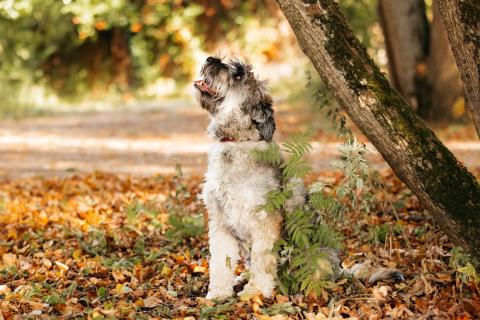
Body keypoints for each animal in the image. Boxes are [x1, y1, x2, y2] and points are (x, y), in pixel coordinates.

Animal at [193, 55, 404, 300]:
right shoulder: (220, 223)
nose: (210, 58)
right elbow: (220, 263)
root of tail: (340, 270)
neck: (237, 142)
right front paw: (218, 294)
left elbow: (262, 261)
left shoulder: (265, 222)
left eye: (238, 74)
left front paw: (254, 293)